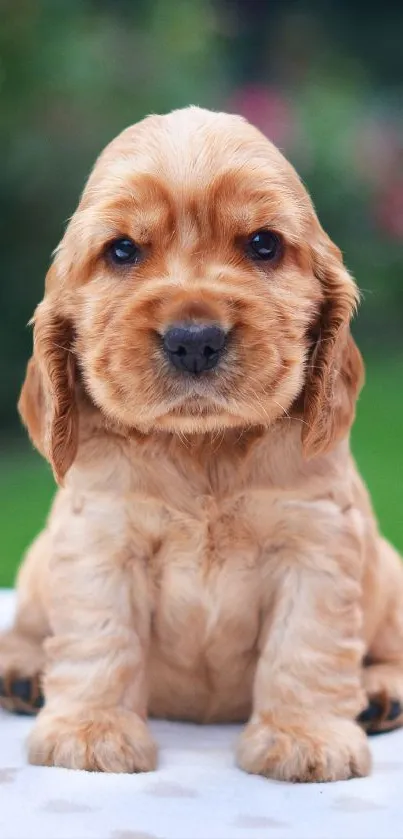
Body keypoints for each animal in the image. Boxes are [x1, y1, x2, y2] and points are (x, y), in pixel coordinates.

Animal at [1, 108, 402, 784]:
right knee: (29, 626)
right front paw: (90, 733)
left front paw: (304, 739)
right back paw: (23, 675)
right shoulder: (101, 541)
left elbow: (305, 645)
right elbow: (101, 638)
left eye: (263, 244)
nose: (194, 339)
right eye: (123, 250)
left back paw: (380, 694)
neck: (202, 448)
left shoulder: (316, 544)